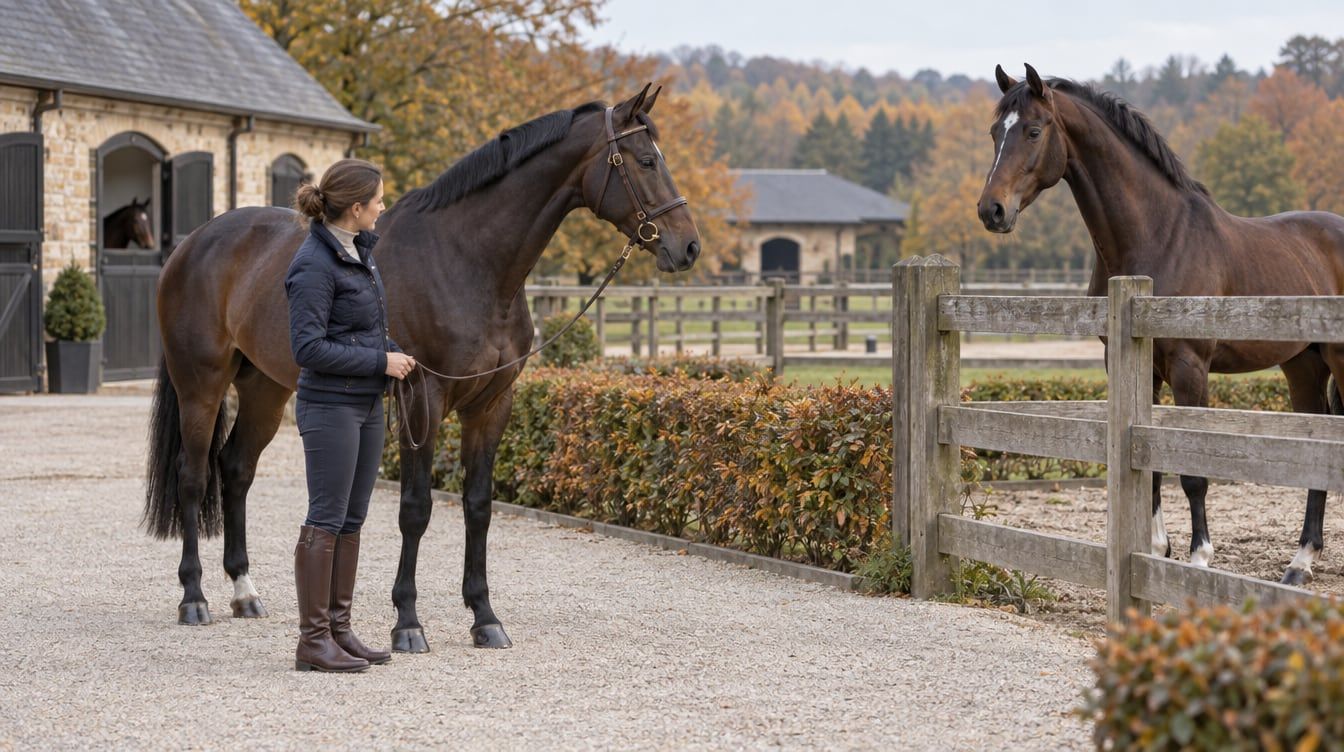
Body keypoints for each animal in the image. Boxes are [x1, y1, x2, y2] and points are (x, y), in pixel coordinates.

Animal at [144, 85, 701, 650]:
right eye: (647, 160)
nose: (688, 247)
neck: (466, 261)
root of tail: (192, 245)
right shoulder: (422, 398)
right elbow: (415, 509)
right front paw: (407, 623)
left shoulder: (492, 404)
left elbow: (478, 505)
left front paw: (485, 617)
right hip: (201, 386)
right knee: (193, 475)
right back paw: (194, 598)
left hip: (266, 390)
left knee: (236, 469)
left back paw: (244, 592)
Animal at [976, 64, 1344, 586]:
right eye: (994, 133)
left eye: (1032, 130)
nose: (992, 210)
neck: (1158, 237)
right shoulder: (1137, 368)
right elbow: (1147, 461)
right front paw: (1153, 550)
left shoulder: (1191, 367)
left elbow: (1190, 469)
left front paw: (1198, 557)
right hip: (1303, 365)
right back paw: (1300, 562)